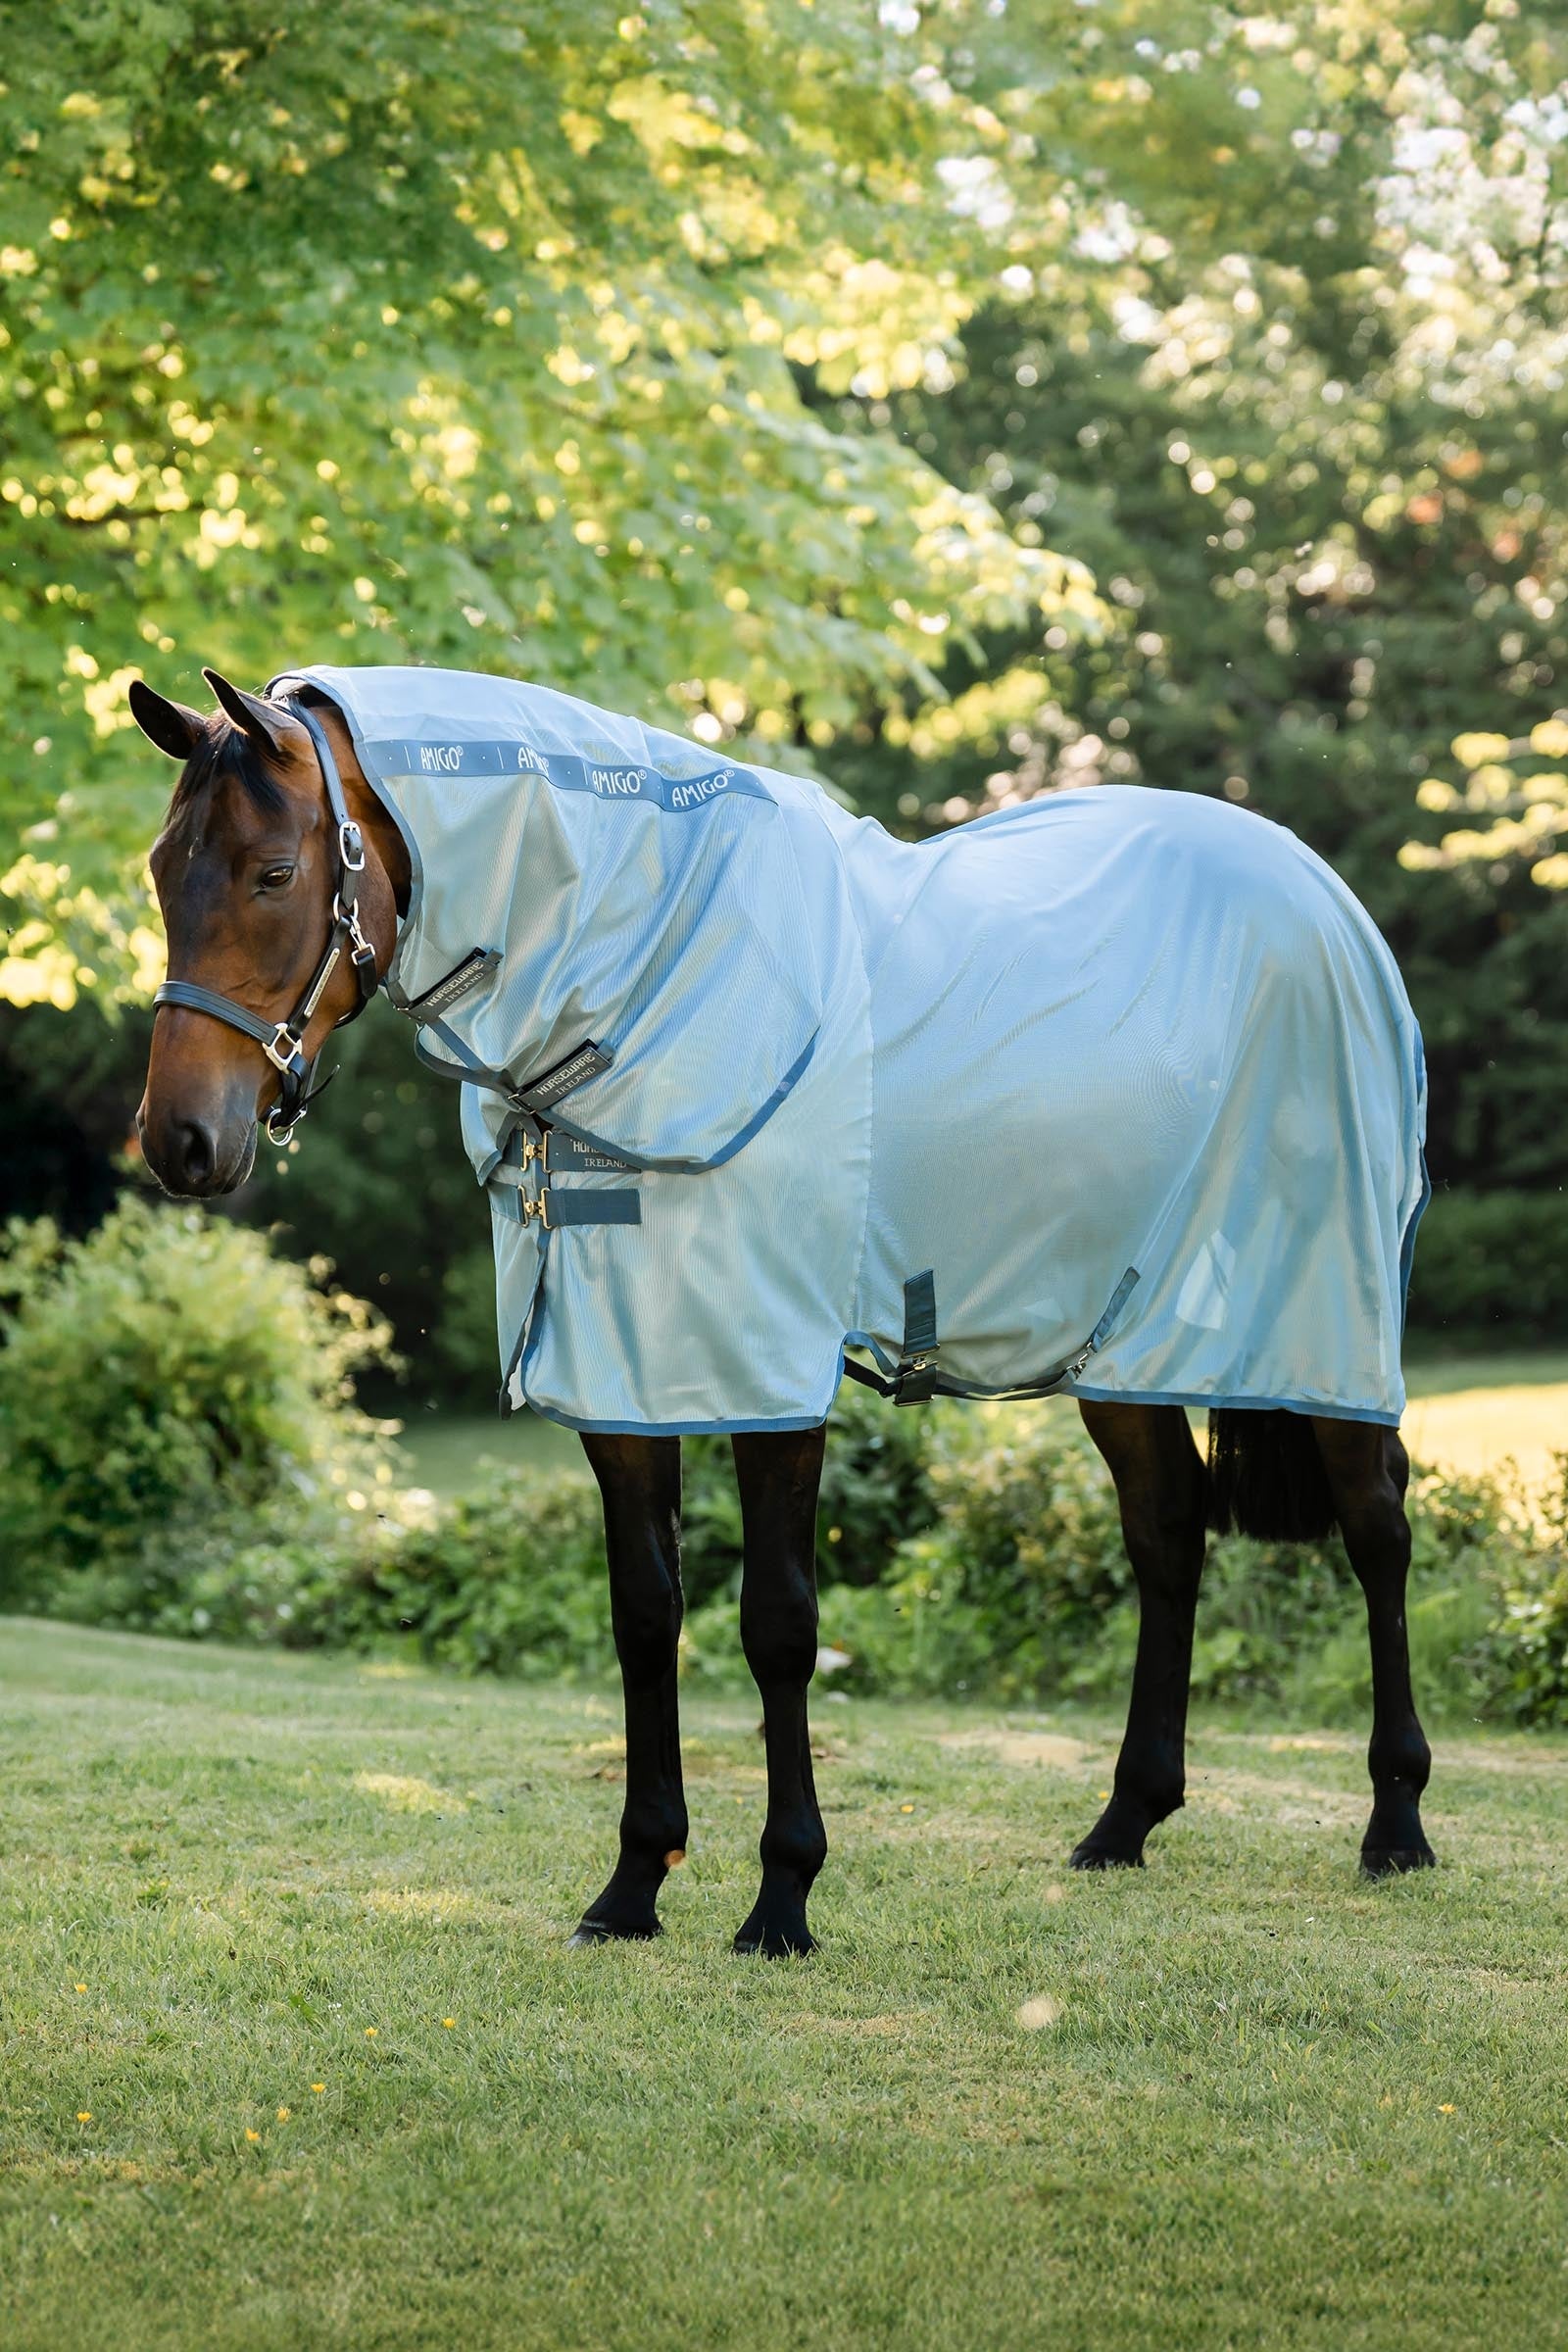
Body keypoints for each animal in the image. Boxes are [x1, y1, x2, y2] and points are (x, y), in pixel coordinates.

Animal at [129, 665, 1435, 1957]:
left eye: (273, 873)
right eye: (158, 869)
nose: (181, 1141)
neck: (668, 971)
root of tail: (1319, 892)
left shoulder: (768, 1374)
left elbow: (777, 1626)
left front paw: (782, 1897)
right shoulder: (623, 1375)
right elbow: (644, 1613)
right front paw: (632, 1886)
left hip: (1323, 1320)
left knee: (1376, 1527)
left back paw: (1395, 1826)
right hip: (1119, 1343)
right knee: (1166, 1529)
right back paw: (1124, 1820)